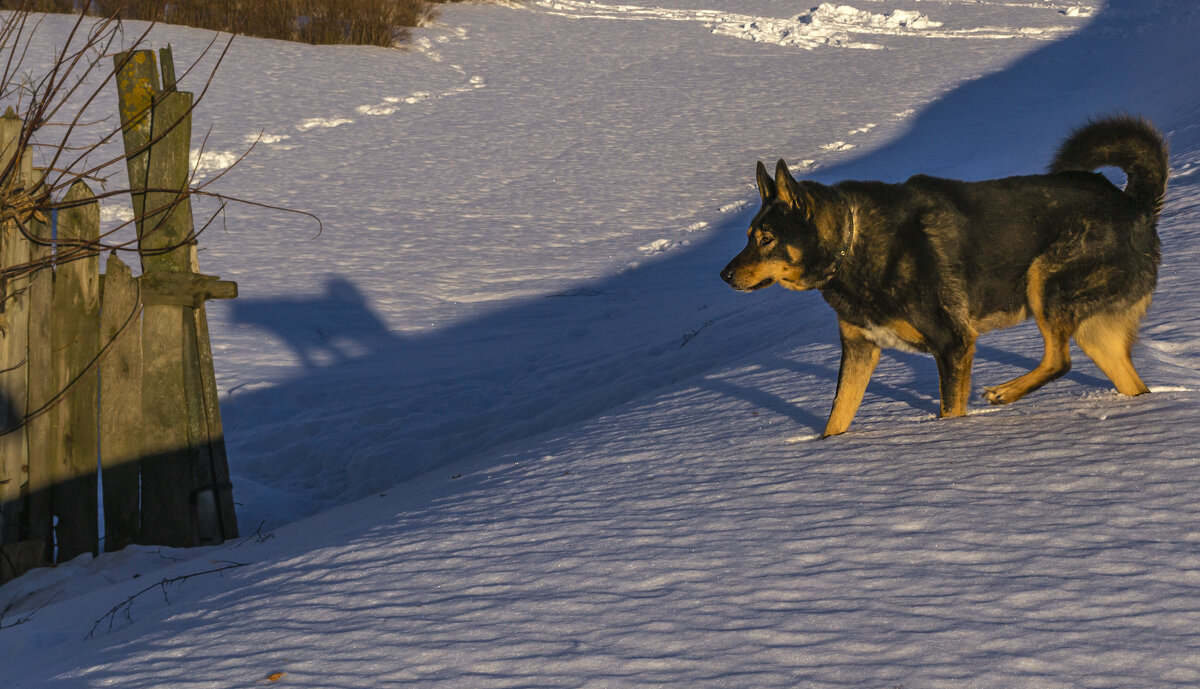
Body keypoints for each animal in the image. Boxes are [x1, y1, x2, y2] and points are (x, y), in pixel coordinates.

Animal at [715, 114, 1166, 436]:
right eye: (750, 237)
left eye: (768, 239)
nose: (724, 275)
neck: (851, 242)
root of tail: (1135, 205)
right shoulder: (860, 350)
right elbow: (836, 420)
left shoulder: (952, 343)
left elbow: (950, 412)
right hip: (1094, 331)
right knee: (1126, 382)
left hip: (1044, 282)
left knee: (1059, 359)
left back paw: (1005, 392)